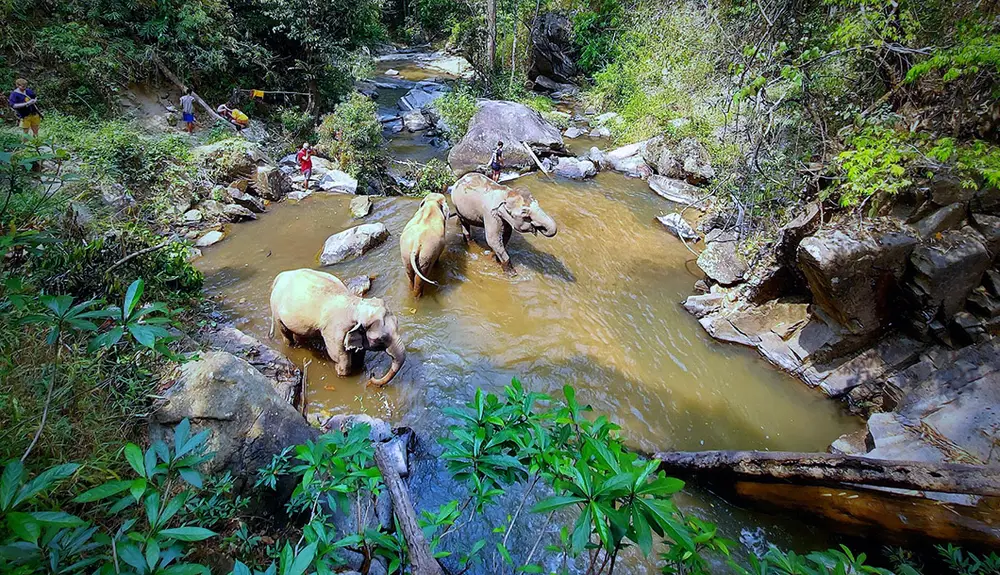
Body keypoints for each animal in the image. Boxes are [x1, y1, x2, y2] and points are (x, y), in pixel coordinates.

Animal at [269, 268, 405, 387]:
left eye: (398, 323)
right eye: (380, 339)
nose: (372, 375)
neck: (355, 305)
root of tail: (281, 276)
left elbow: (359, 354)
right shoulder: (333, 332)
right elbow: (341, 359)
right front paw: (339, 371)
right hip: (276, 311)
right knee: (285, 332)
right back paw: (292, 345)